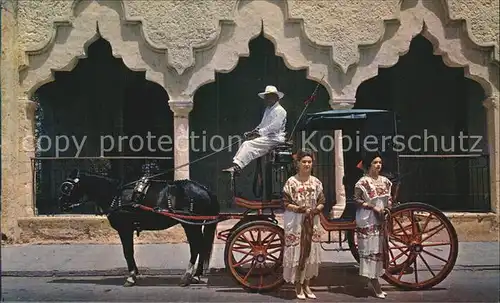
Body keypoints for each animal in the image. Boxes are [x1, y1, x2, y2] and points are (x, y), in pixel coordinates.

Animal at [57, 170, 220, 288]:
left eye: (66, 187)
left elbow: (127, 252)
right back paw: (196, 275)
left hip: (189, 223)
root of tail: (205, 190)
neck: (115, 195)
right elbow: (130, 252)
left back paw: (187, 276)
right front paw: (134, 272)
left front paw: (131, 277)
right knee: (201, 247)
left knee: (196, 247)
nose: (61, 204)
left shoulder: (124, 228)